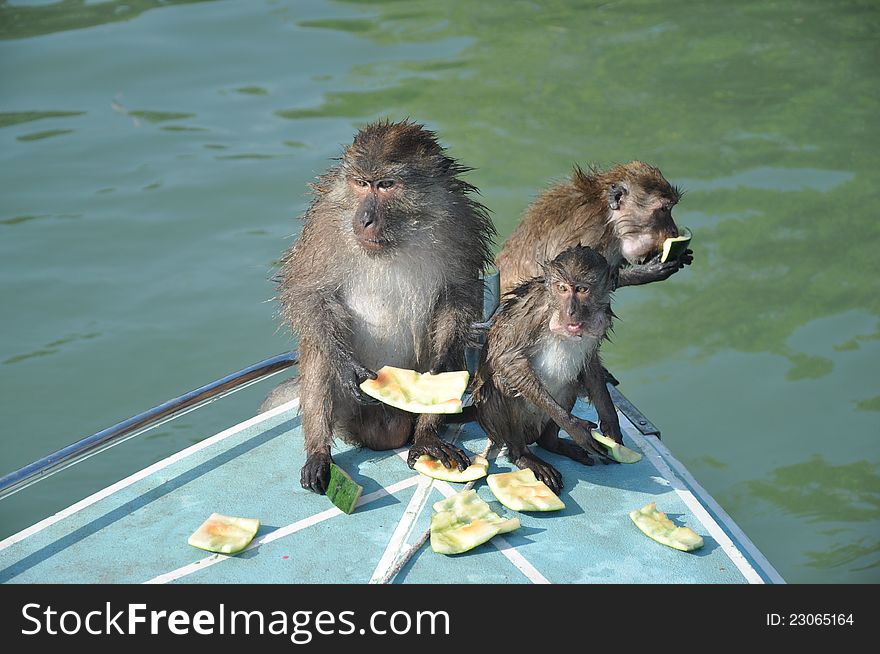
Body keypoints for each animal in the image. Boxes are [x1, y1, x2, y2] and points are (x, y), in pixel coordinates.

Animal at [276, 119, 496, 498]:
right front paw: (345, 365)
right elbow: (309, 294)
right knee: (317, 349)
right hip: (351, 412)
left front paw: (440, 365)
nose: (364, 218)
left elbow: (458, 294)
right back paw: (319, 453)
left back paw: (426, 437)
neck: (400, 236)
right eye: (361, 183)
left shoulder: (461, 221)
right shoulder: (324, 224)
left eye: (386, 185)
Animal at [470, 246, 624, 498]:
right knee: (504, 383)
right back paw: (524, 456)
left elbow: (590, 365)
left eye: (582, 289)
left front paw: (611, 424)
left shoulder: (602, 318)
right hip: (499, 422)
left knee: (570, 382)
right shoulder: (533, 311)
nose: (571, 310)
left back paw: (552, 443)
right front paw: (575, 427)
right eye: (562, 288)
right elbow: (506, 359)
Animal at [496, 163, 696, 296]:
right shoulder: (589, 237)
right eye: (664, 209)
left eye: (670, 208)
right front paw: (647, 272)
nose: (673, 230)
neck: (609, 221)